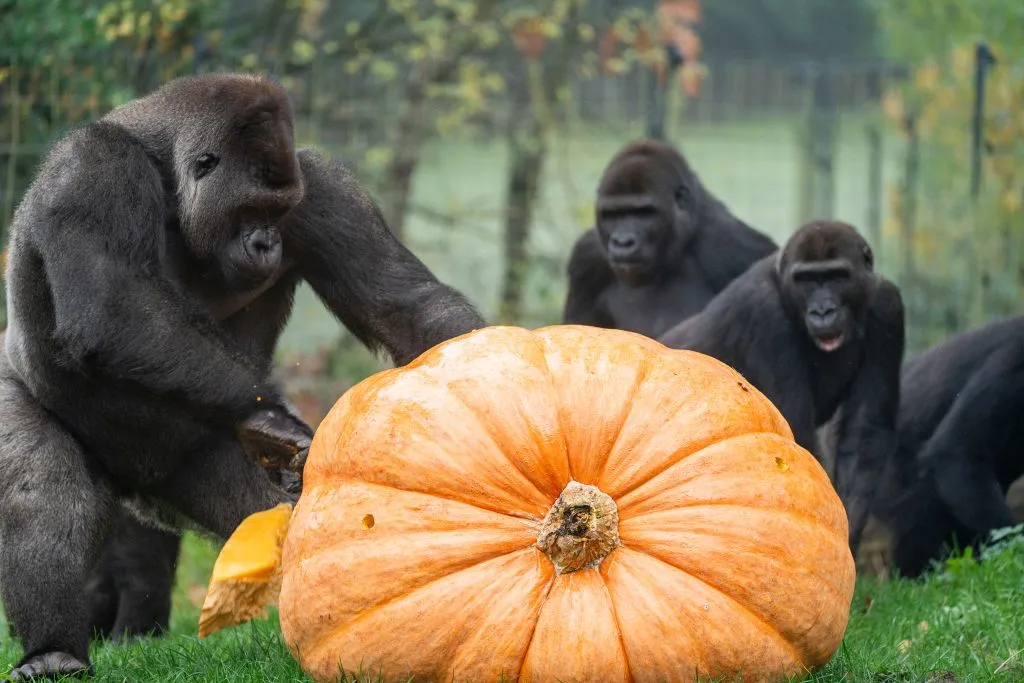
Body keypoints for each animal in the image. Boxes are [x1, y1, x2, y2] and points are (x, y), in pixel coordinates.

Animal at [0, 70, 485, 679]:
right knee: (42, 488)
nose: (267, 242)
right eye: (251, 209)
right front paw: (275, 418)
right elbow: (108, 308)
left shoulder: (320, 186)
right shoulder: (92, 167)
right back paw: (53, 652)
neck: (168, 179)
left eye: (278, 214)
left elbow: (403, 306)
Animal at [655, 222, 905, 552]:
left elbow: (866, 428)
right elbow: (797, 429)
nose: (822, 312)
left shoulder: (888, 306)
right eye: (806, 280)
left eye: (837, 276)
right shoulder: (764, 313)